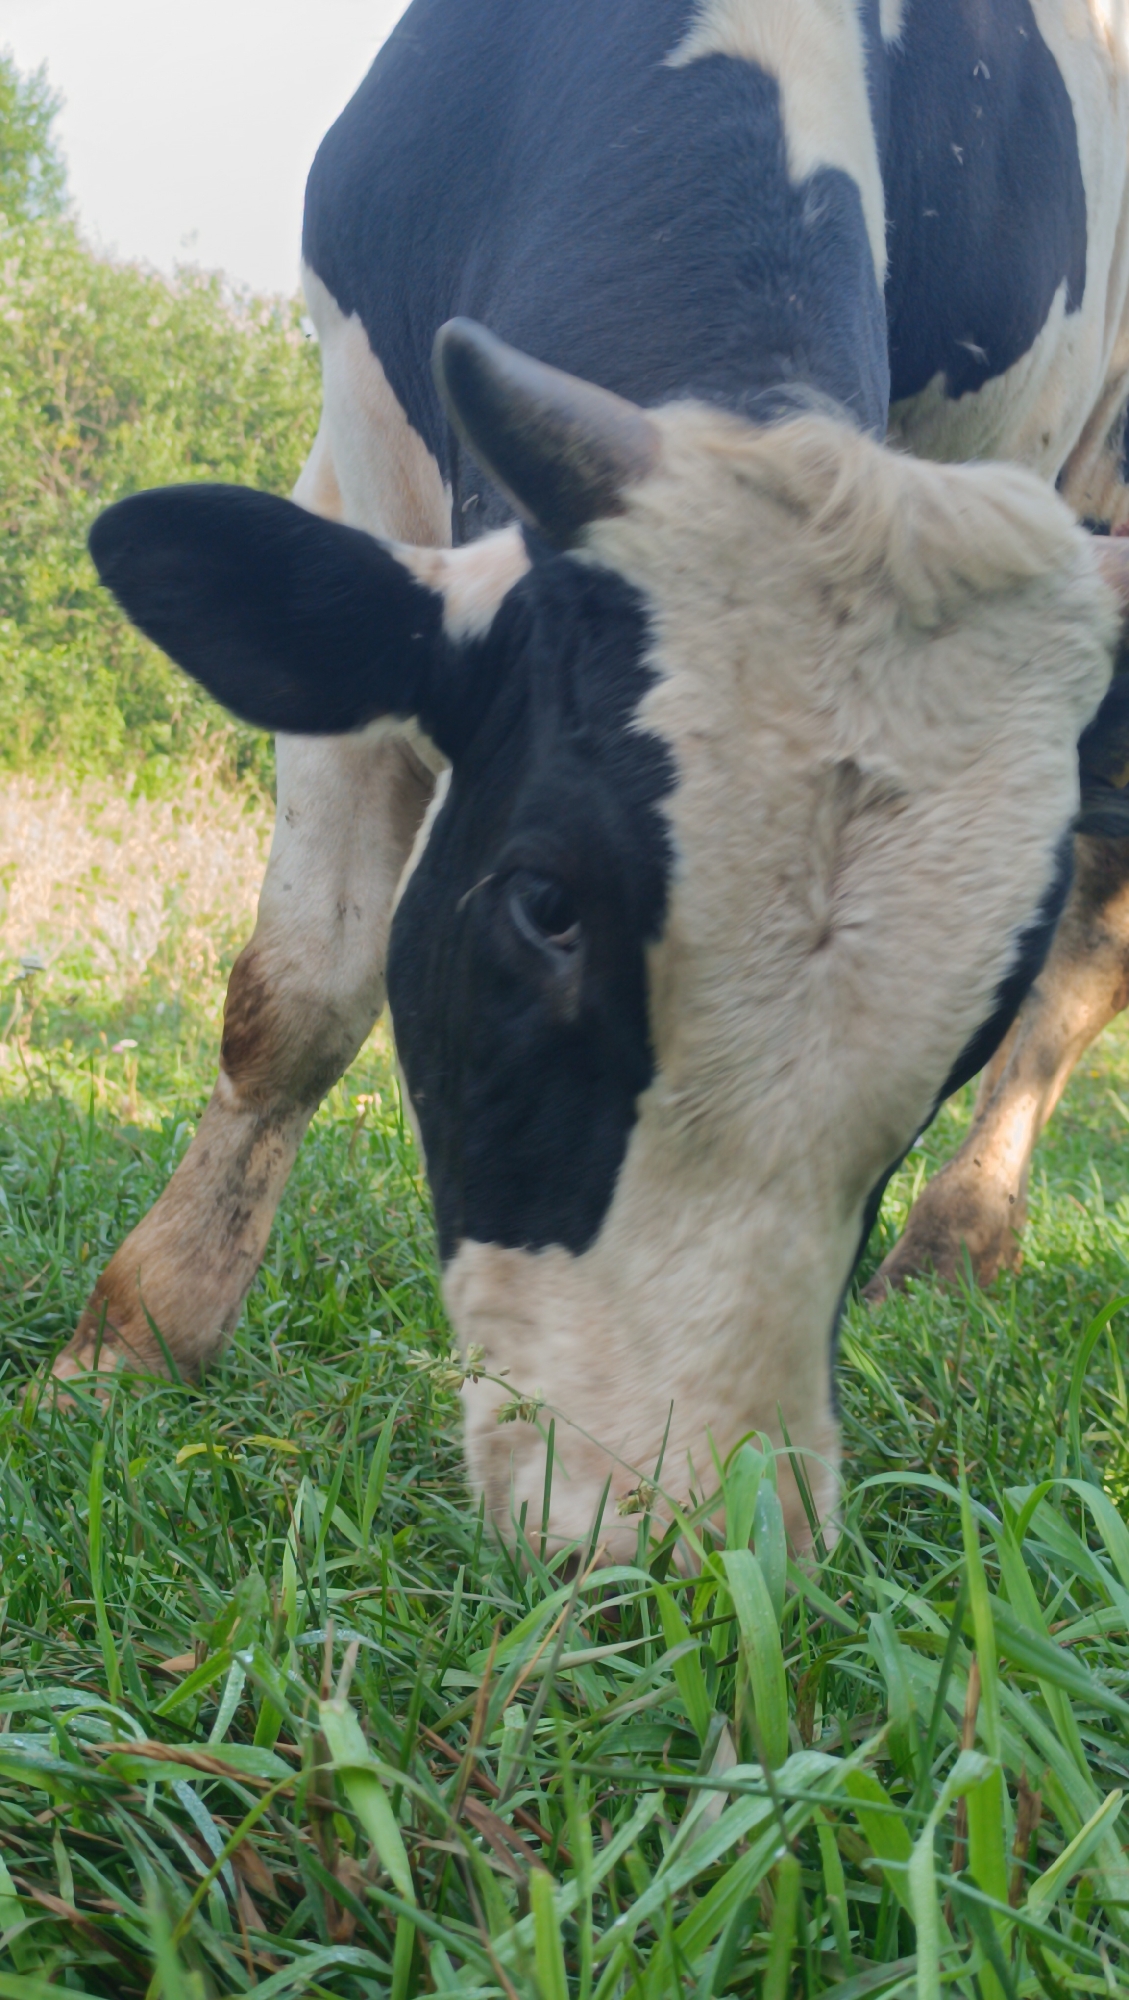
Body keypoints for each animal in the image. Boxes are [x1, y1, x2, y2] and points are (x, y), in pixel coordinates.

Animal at [54, 0, 1129, 1552]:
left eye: (961, 1027)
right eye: (544, 906)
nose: (668, 1531)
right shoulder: (358, 460)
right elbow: (297, 996)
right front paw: (135, 1342)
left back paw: (955, 1241)